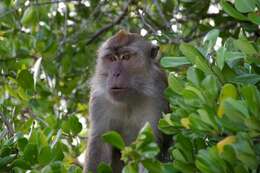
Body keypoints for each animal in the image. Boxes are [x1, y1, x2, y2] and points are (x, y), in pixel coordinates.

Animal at [84, 30, 170, 173]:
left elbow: (149, 143)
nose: (115, 74)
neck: (129, 99)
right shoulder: (99, 98)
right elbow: (99, 144)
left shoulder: (158, 95)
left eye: (126, 57)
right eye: (112, 59)